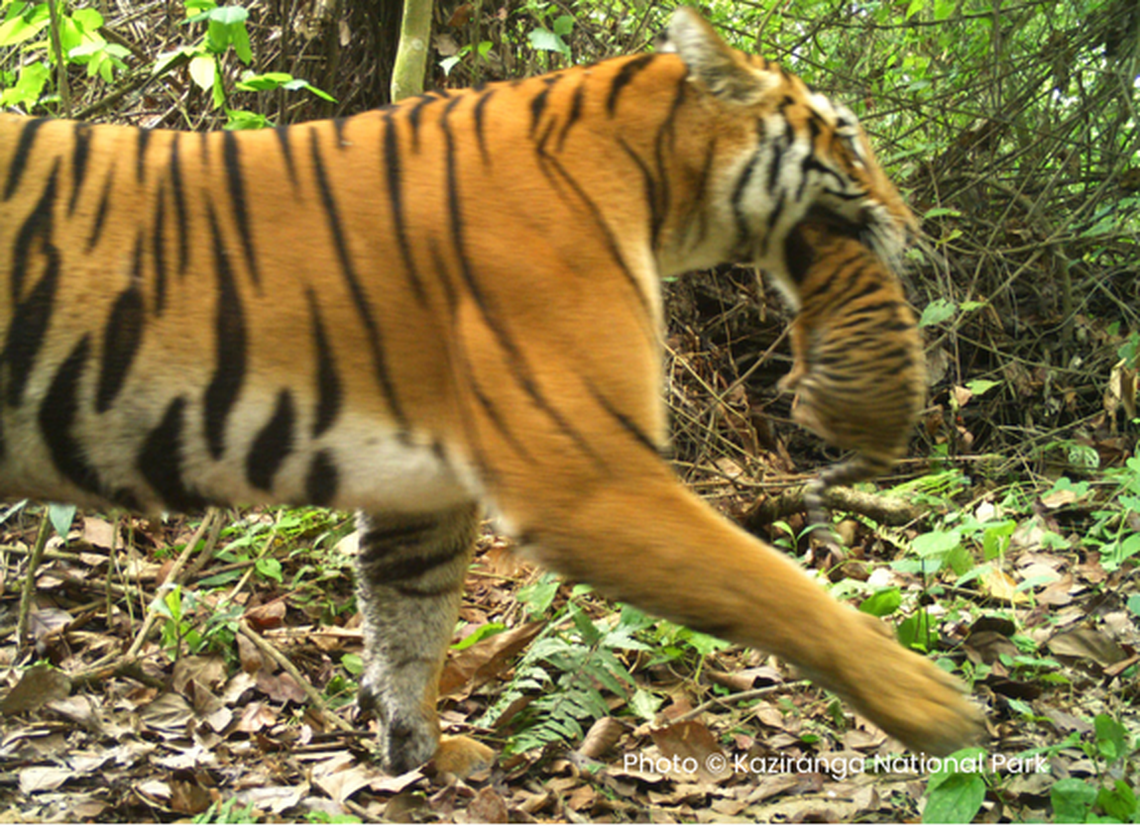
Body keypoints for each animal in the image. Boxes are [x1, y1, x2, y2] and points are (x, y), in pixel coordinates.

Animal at [775, 219, 927, 536]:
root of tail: (889, 444)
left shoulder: (806, 318)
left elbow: (799, 351)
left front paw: (787, 382)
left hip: (829, 382)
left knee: (811, 414)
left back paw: (798, 402)